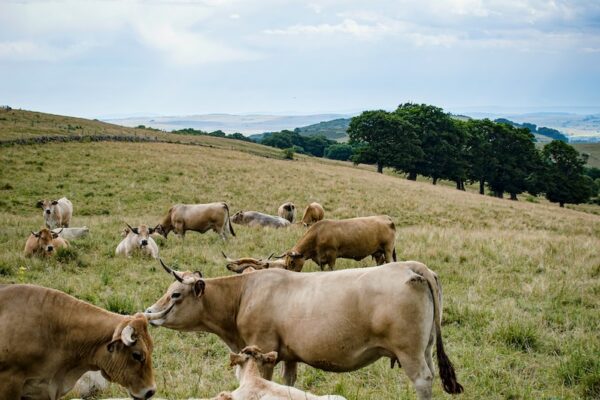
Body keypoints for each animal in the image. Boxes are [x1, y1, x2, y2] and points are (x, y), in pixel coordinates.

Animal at [145, 258, 464, 398]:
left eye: (176, 294)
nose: (148, 312)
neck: (245, 293)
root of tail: (412, 266)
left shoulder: (263, 351)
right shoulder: (289, 356)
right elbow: (289, 383)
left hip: (409, 352)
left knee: (423, 380)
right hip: (424, 349)